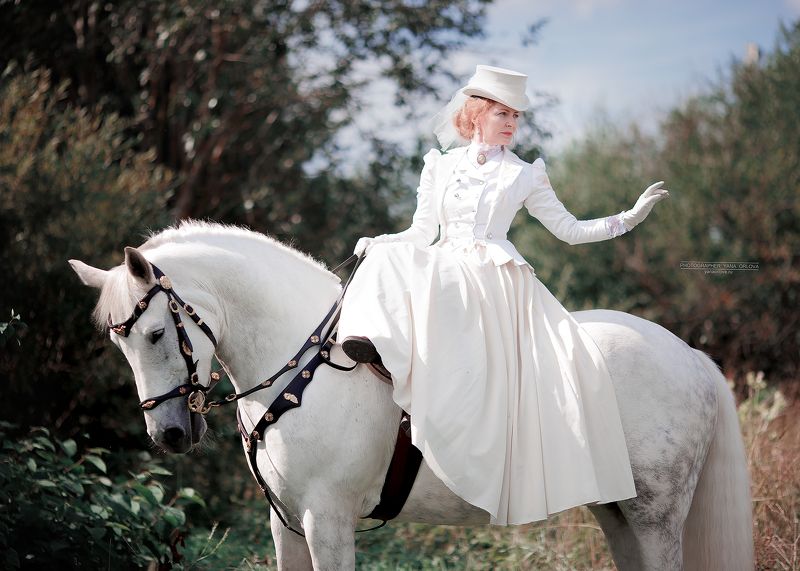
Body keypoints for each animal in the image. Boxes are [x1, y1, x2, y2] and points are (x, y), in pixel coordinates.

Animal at [69, 220, 753, 570]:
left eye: (157, 334)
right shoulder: (285, 524)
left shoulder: (327, 523)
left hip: (656, 516)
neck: (302, 371)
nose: (168, 434)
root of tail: (690, 356)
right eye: (121, 345)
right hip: (618, 511)